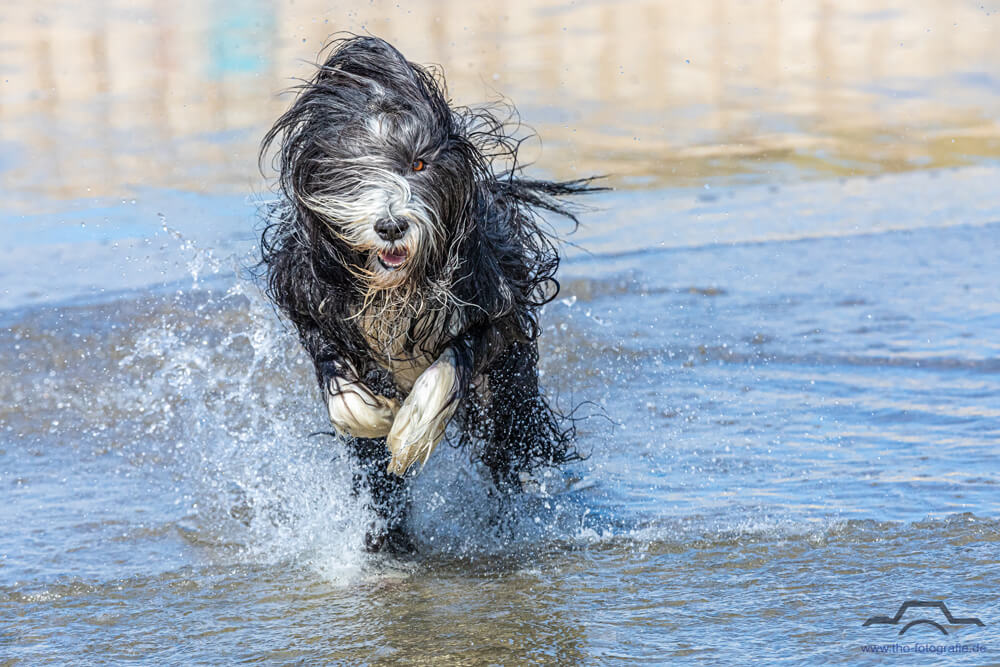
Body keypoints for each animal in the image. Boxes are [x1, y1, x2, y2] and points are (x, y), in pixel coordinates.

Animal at [260, 35, 600, 552]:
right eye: (356, 168)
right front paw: (376, 417)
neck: (394, 288)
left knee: (507, 446)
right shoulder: (312, 303)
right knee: (382, 487)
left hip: (507, 394)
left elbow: (450, 364)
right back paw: (388, 539)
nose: (391, 226)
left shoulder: (487, 306)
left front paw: (409, 432)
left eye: (418, 162)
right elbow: (340, 384)